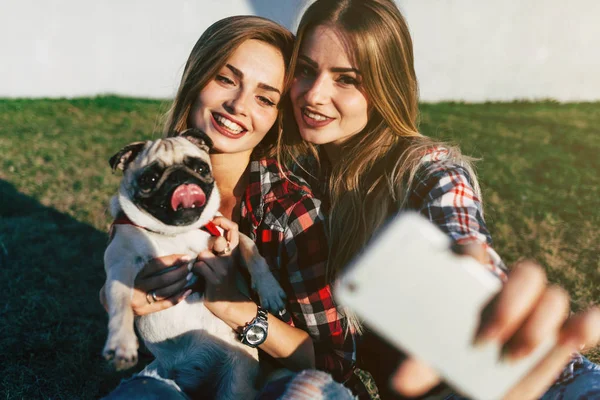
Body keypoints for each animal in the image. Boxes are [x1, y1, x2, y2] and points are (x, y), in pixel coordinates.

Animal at [102, 130, 286, 398]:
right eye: (150, 178)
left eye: (200, 168)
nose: (180, 176)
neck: (176, 232)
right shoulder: (121, 263)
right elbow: (121, 304)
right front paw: (121, 342)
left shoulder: (229, 235)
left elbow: (253, 251)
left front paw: (271, 291)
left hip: (237, 380)